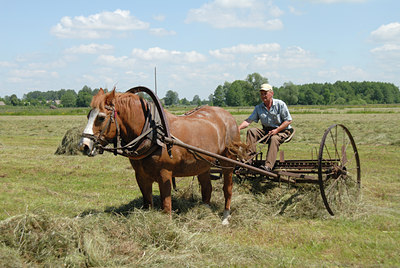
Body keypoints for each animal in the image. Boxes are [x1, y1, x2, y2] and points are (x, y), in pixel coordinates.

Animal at [78, 88, 241, 224]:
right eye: (88, 115)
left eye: (101, 117)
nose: (83, 145)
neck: (154, 134)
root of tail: (229, 117)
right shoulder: (141, 176)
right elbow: (147, 201)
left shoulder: (165, 175)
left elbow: (166, 206)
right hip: (203, 164)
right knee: (207, 188)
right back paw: (204, 211)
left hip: (228, 161)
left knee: (228, 188)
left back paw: (225, 216)